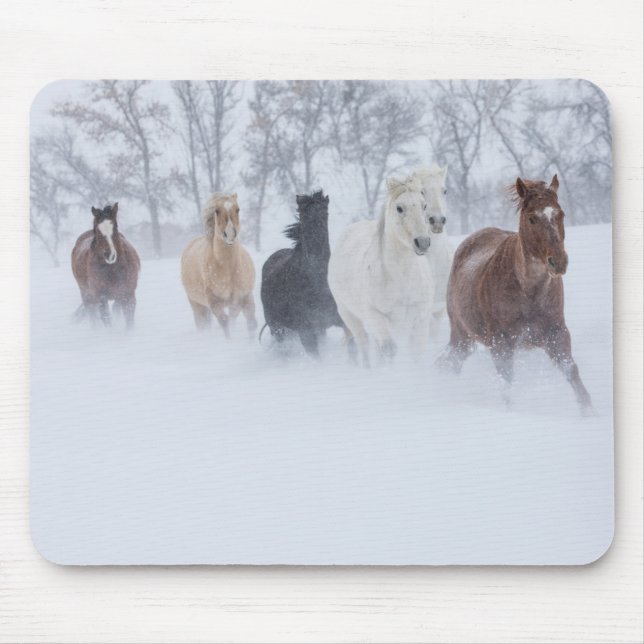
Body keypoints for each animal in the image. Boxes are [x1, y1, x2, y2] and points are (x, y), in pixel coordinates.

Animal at [180, 192, 257, 338]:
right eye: (217, 210)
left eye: (238, 209)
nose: (230, 234)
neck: (229, 270)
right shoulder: (215, 303)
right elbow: (225, 324)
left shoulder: (245, 298)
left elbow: (251, 324)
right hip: (198, 306)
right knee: (203, 326)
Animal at [328, 176, 434, 366]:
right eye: (399, 208)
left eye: (424, 205)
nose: (422, 242)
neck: (401, 279)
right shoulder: (375, 316)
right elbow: (389, 351)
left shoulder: (421, 319)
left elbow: (417, 354)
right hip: (349, 314)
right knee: (363, 343)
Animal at [440, 175, 593, 413]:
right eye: (531, 218)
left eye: (560, 214)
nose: (558, 262)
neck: (528, 292)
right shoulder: (501, 344)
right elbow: (506, 384)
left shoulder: (556, 333)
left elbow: (571, 371)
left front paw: (589, 411)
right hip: (462, 334)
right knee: (449, 362)